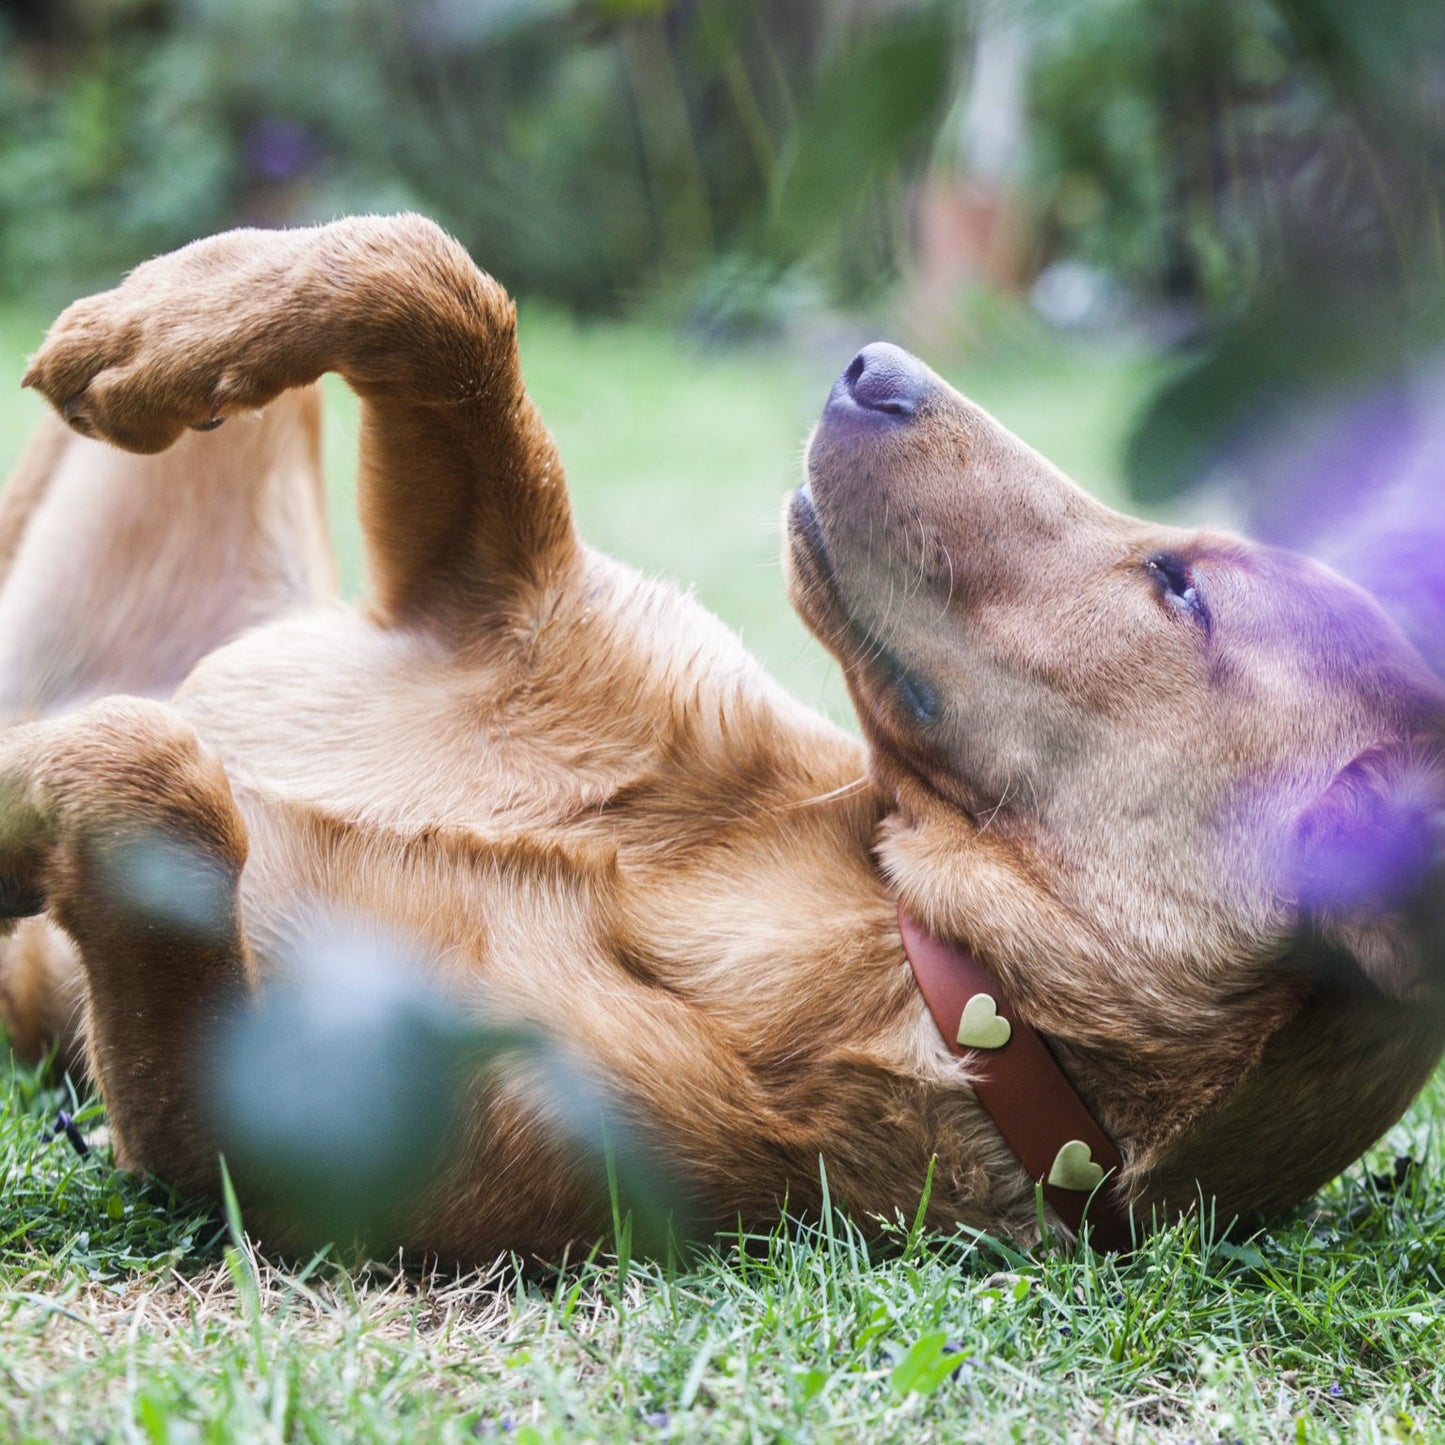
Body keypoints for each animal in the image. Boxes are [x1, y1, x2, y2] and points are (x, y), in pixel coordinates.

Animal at [0, 209, 1439, 1260]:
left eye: (1178, 588)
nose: (870, 365)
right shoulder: (478, 595)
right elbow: (433, 280)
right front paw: (152, 332)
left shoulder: (249, 1136)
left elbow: (161, 784)